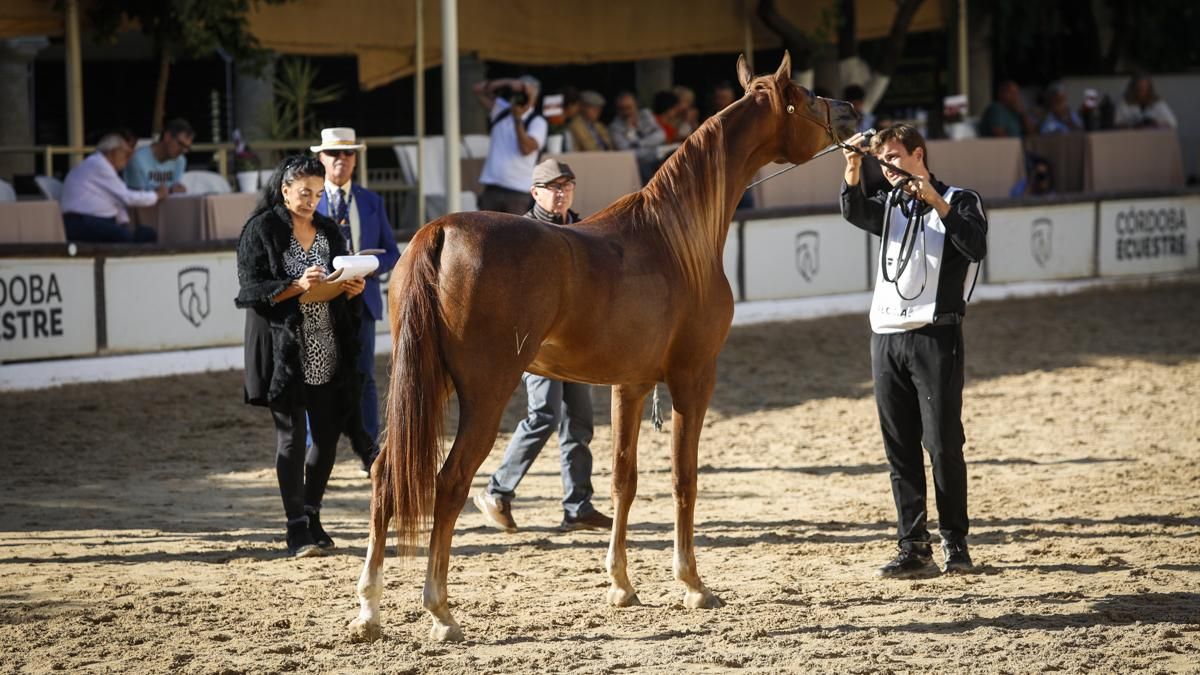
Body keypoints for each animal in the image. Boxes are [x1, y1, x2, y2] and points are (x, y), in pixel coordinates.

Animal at [349, 52, 858, 643]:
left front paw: (621, 585)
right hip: (485, 395)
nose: (850, 112)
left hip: (423, 387)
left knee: (386, 475)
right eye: (805, 95)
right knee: (449, 484)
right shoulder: (693, 377)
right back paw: (440, 611)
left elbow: (622, 480)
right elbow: (684, 478)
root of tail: (442, 231)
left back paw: (369, 610)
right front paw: (693, 585)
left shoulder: (630, 385)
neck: (675, 238)